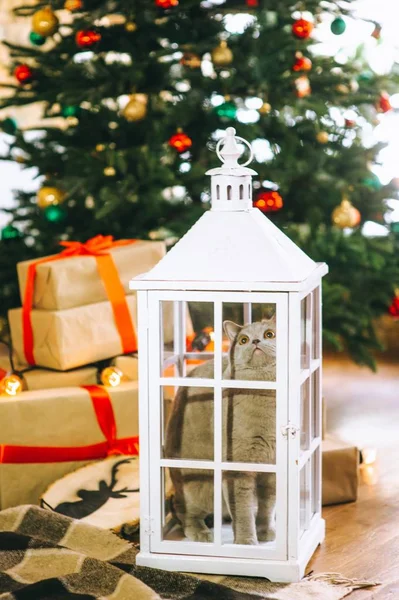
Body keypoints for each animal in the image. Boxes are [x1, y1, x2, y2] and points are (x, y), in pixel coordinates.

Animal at [164, 316, 276, 548]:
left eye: (270, 334)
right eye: (243, 339)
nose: (256, 341)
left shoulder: (274, 466)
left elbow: (268, 504)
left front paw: (265, 533)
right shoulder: (237, 467)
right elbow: (242, 510)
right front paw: (246, 542)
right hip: (198, 485)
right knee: (183, 511)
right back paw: (201, 533)